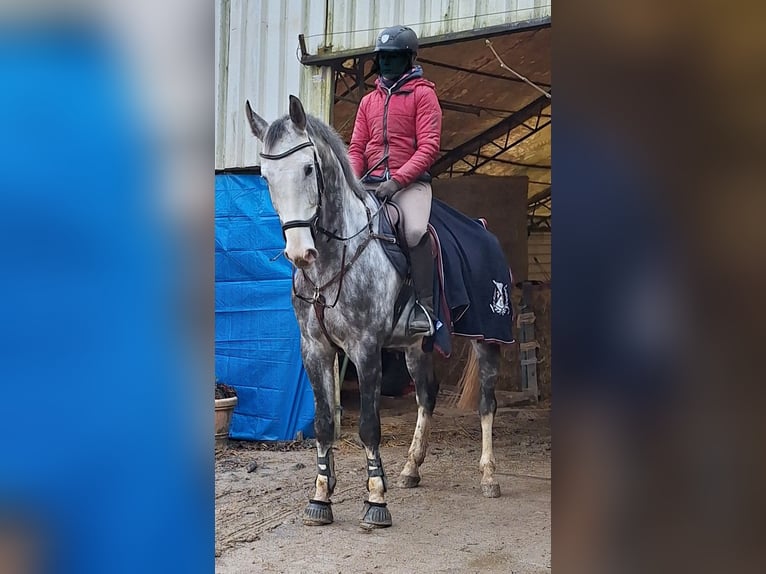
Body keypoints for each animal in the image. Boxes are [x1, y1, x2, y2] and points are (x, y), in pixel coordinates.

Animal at [248, 94, 504, 532]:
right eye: (265, 177)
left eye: (308, 168)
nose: (300, 252)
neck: (333, 258)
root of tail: (485, 229)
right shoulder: (315, 348)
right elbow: (324, 422)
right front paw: (320, 497)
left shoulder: (365, 348)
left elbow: (369, 426)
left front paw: (376, 501)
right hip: (416, 346)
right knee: (426, 395)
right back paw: (411, 468)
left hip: (487, 335)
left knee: (487, 401)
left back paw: (488, 476)